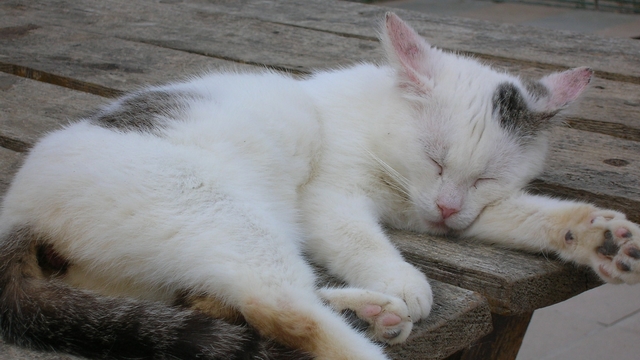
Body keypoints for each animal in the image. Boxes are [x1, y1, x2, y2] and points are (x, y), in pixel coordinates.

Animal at [1, 11, 640, 360]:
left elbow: (523, 213)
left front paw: (596, 235)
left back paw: (374, 312)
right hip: (215, 208)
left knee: (228, 301)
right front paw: (397, 274)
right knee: (282, 310)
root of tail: (16, 213)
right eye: (435, 159)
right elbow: (356, 235)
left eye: (485, 177)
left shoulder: (470, 210)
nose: (445, 209)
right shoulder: (325, 196)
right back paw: (376, 314)